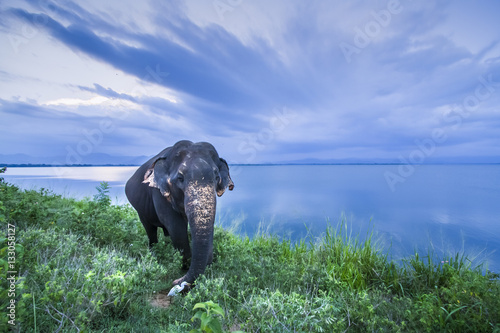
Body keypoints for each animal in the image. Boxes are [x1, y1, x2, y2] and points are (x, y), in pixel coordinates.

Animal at [125, 140, 234, 286]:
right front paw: (184, 266)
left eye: (217, 177)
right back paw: (154, 253)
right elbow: (175, 226)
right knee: (150, 229)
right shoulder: (159, 193)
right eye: (180, 178)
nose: (175, 282)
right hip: (140, 209)